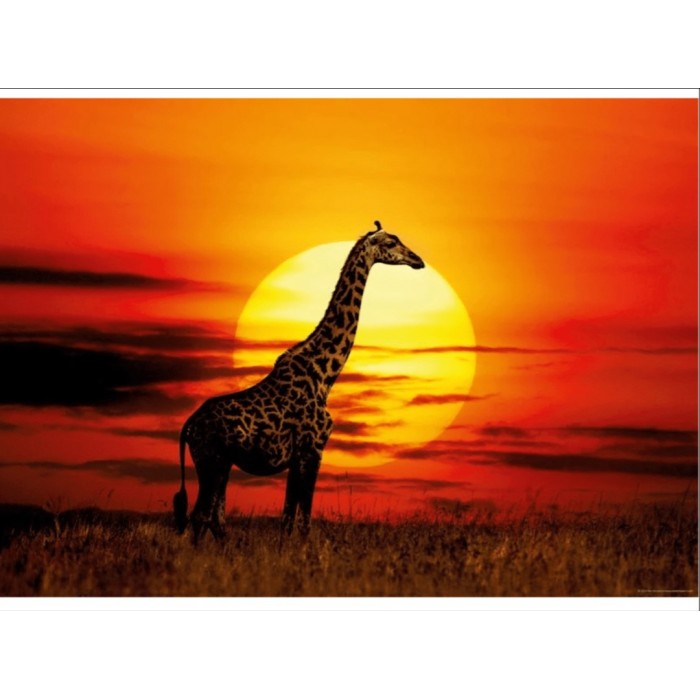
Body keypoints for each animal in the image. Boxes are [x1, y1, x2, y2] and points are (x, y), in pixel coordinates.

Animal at [173, 221, 425, 541]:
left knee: (215, 519)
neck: (325, 375)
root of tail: (188, 428)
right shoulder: (313, 448)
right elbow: (303, 519)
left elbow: (287, 518)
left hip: (221, 465)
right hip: (211, 461)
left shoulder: (297, 455)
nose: (419, 260)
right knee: (201, 516)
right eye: (391, 243)